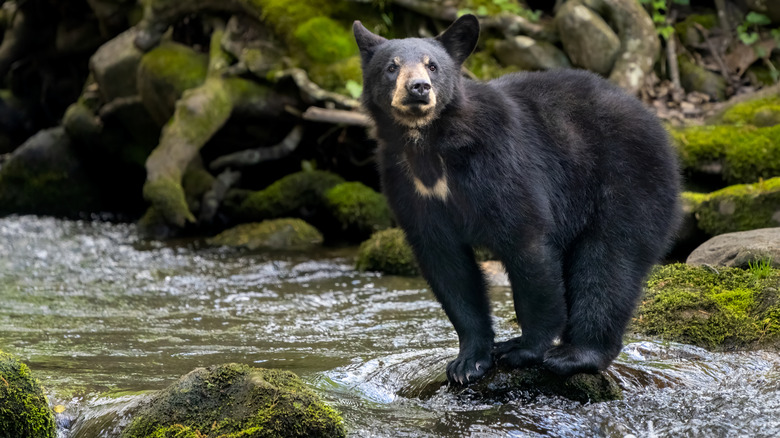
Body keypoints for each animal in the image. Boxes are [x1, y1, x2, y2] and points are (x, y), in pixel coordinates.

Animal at [353, 14, 681, 385]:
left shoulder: (499, 161)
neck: (430, 144)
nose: (418, 88)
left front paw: (523, 349)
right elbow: (447, 265)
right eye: (391, 67)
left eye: (432, 65)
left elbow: (526, 242)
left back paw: (575, 354)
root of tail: (658, 126)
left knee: (610, 261)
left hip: (627, 180)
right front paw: (468, 361)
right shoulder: (408, 186)